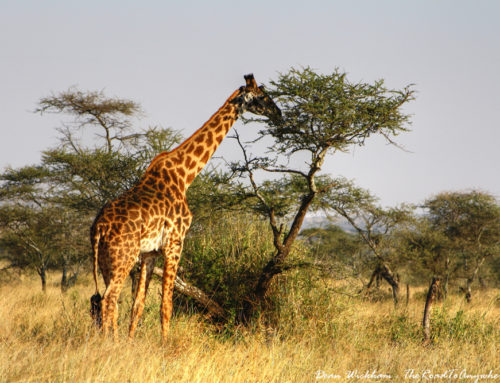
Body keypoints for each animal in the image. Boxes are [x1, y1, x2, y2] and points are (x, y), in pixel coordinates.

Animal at [90, 75, 282, 342]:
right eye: (263, 96)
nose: (279, 113)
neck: (184, 176)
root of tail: (98, 228)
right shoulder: (175, 242)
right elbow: (166, 304)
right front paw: (164, 344)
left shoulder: (150, 252)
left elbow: (138, 305)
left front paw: (131, 343)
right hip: (123, 256)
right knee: (109, 299)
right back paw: (111, 344)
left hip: (106, 260)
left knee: (108, 302)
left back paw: (112, 341)